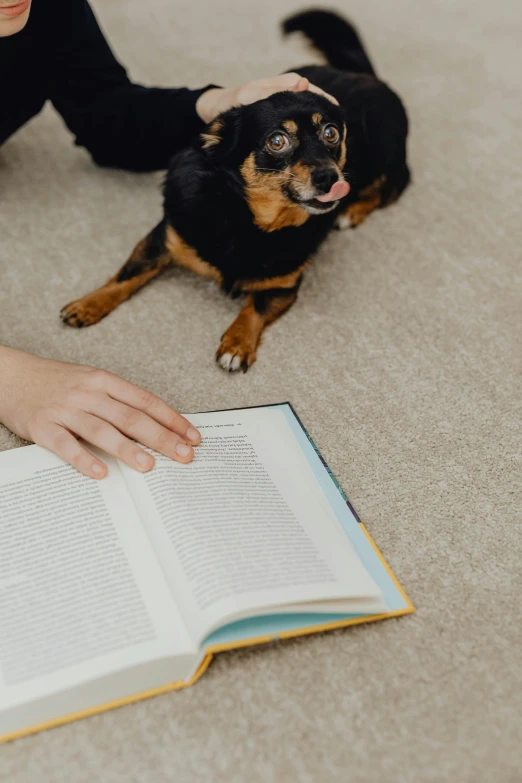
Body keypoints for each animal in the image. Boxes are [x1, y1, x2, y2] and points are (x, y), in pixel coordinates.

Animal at [61, 9, 408, 374]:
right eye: (277, 141)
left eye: (331, 133)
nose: (331, 177)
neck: (246, 218)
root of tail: (362, 74)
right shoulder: (162, 240)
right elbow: (125, 275)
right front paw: (89, 303)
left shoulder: (284, 285)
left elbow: (254, 307)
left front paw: (237, 343)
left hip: (386, 157)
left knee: (393, 187)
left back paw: (352, 212)